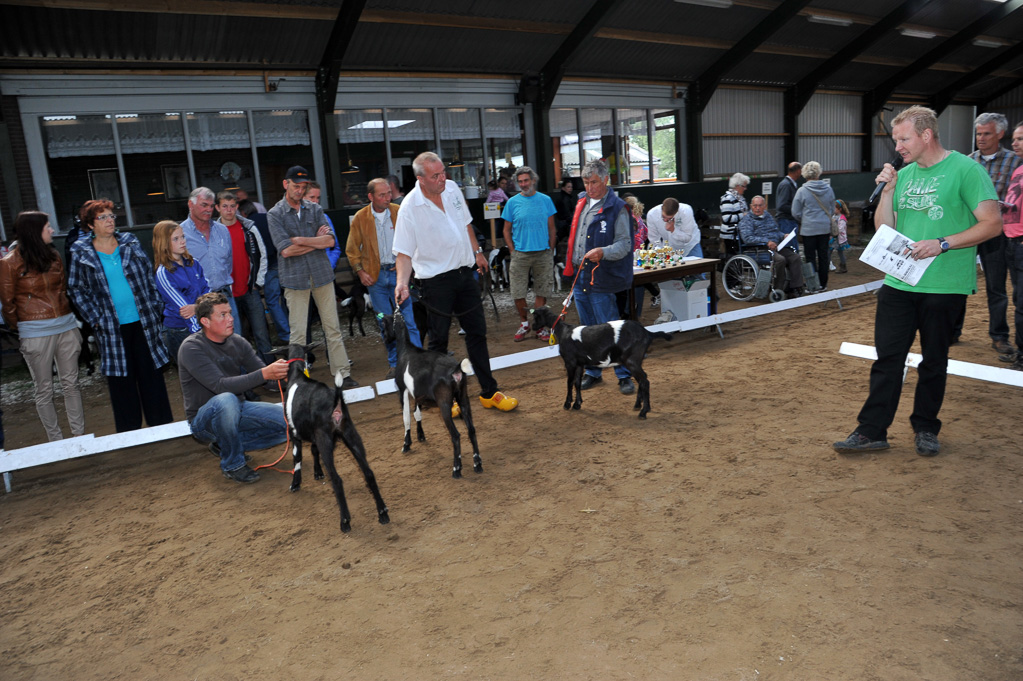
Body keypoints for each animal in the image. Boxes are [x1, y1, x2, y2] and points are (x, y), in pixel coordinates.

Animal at [286, 345, 388, 531]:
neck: (298, 375)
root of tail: (336, 401)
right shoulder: (315, 436)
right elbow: (313, 450)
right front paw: (318, 473)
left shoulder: (294, 432)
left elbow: (297, 458)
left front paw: (295, 483)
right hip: (351, 435)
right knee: (368, 473)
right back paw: (383, 513)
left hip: (326, 441)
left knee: (337, 479)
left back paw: (345, 521)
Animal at [382, 308, 480, 476]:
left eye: (383, 324)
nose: (385, 338)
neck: (406, 349)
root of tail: (456, 369)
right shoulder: (418, 394)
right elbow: (417, 414)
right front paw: (420, 436)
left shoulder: (403, 390)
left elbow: (406, 417)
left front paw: (406, 444)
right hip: (463, 398)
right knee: (471, 430)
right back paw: (477, 464)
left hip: (445, 404)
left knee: (455, 435)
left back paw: (456, 469)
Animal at [536, 304, 671, 417]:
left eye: (535, 316)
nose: (533, 327)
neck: (563, 331)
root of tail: (647, 333)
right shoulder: (580, 364)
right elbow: (577, 383)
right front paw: (577, 404)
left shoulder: (570, 362)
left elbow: (569, 382)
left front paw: (567, 404)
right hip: (636, 361)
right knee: (642, 380)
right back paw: (638, 405)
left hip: (631, 361)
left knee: (644, 381)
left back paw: (644, 411)